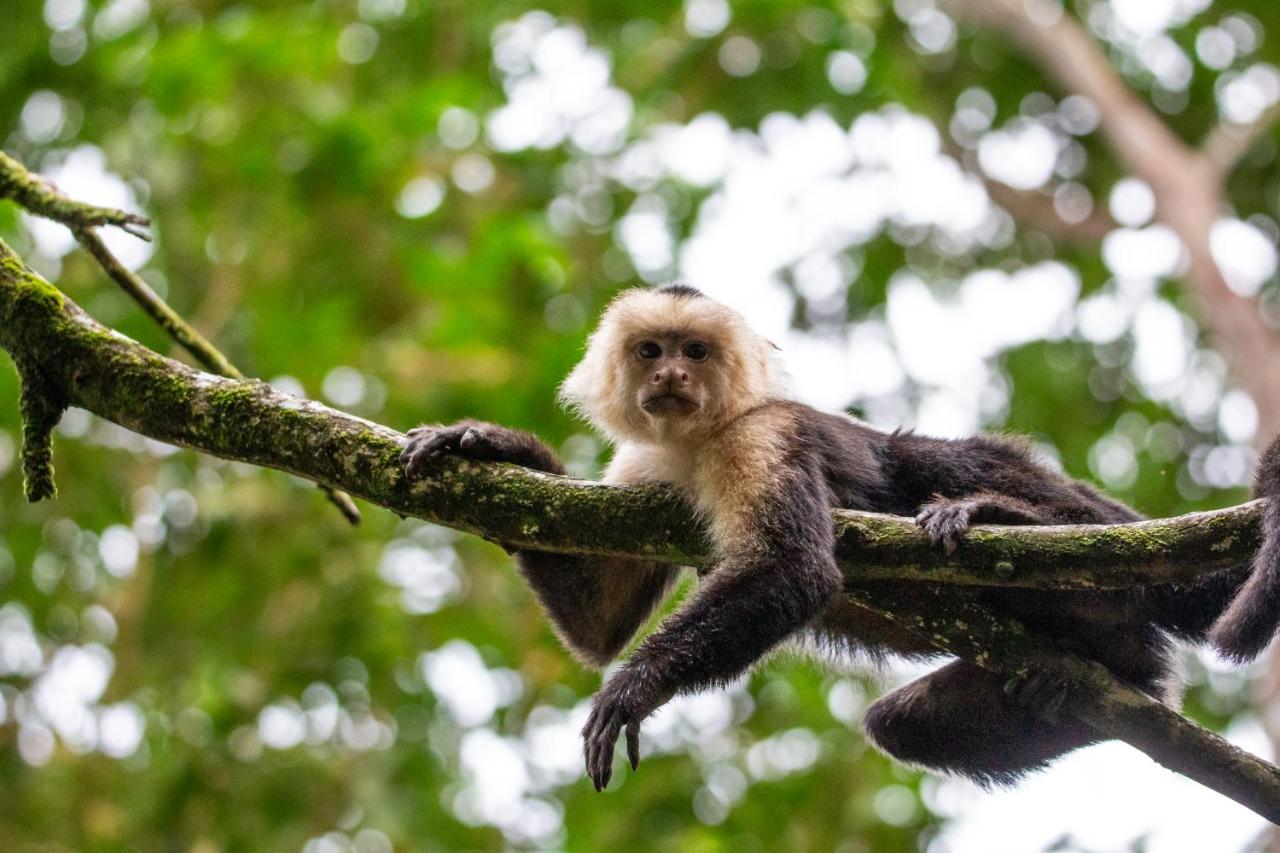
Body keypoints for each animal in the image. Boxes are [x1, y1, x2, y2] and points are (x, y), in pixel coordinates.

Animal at [399, 285, 1269, 788]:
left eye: (694, 350)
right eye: (651, 350)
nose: (671, 376)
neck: (694, 443)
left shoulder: (762, 434)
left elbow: (796, 569)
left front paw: (634, 687)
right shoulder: (641, 463)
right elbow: (597, 624)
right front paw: (495, 446)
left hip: (1105, 543)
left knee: (933, 460)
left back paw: (1006, 517)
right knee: (908, 725)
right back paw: (1067, 694)